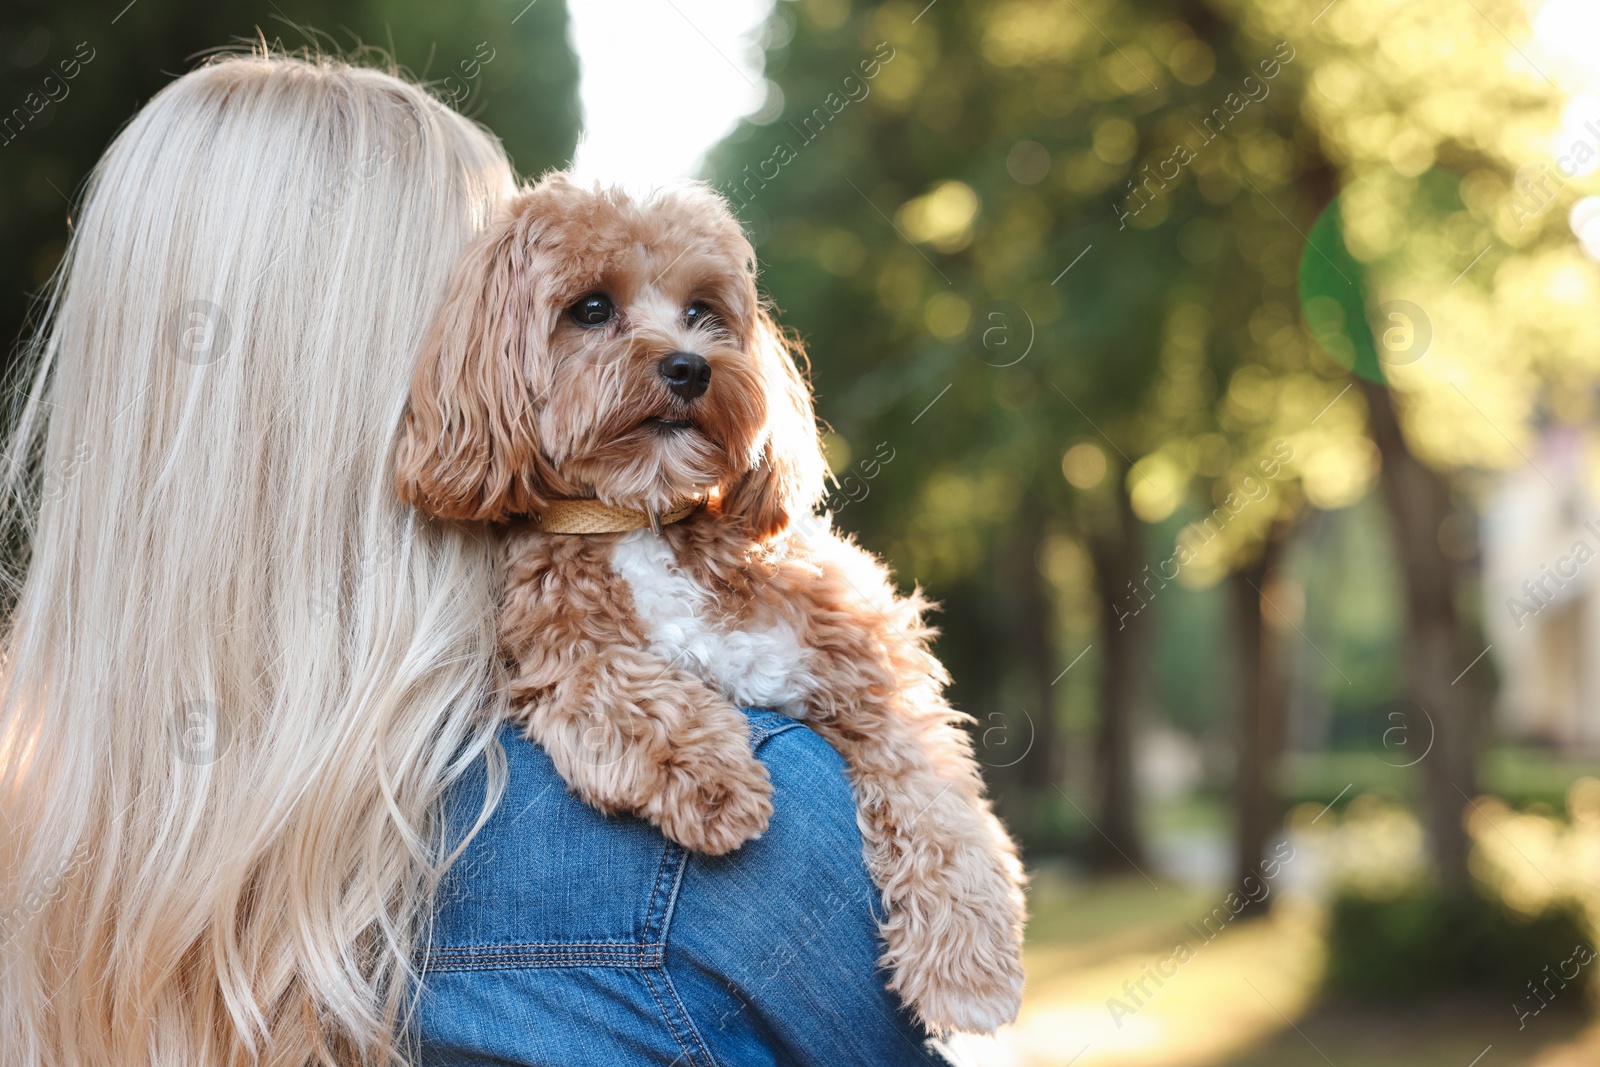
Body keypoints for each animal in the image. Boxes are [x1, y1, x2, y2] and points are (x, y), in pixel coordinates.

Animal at [395, 175, 1030, 1036]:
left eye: (703, 309)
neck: (644, 515)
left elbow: (932, 791)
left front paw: (969, 959)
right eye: (591, 308)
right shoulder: (555, 645)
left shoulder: (866, 660)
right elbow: (621, 686)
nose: (689, 367)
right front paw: (712, 777)